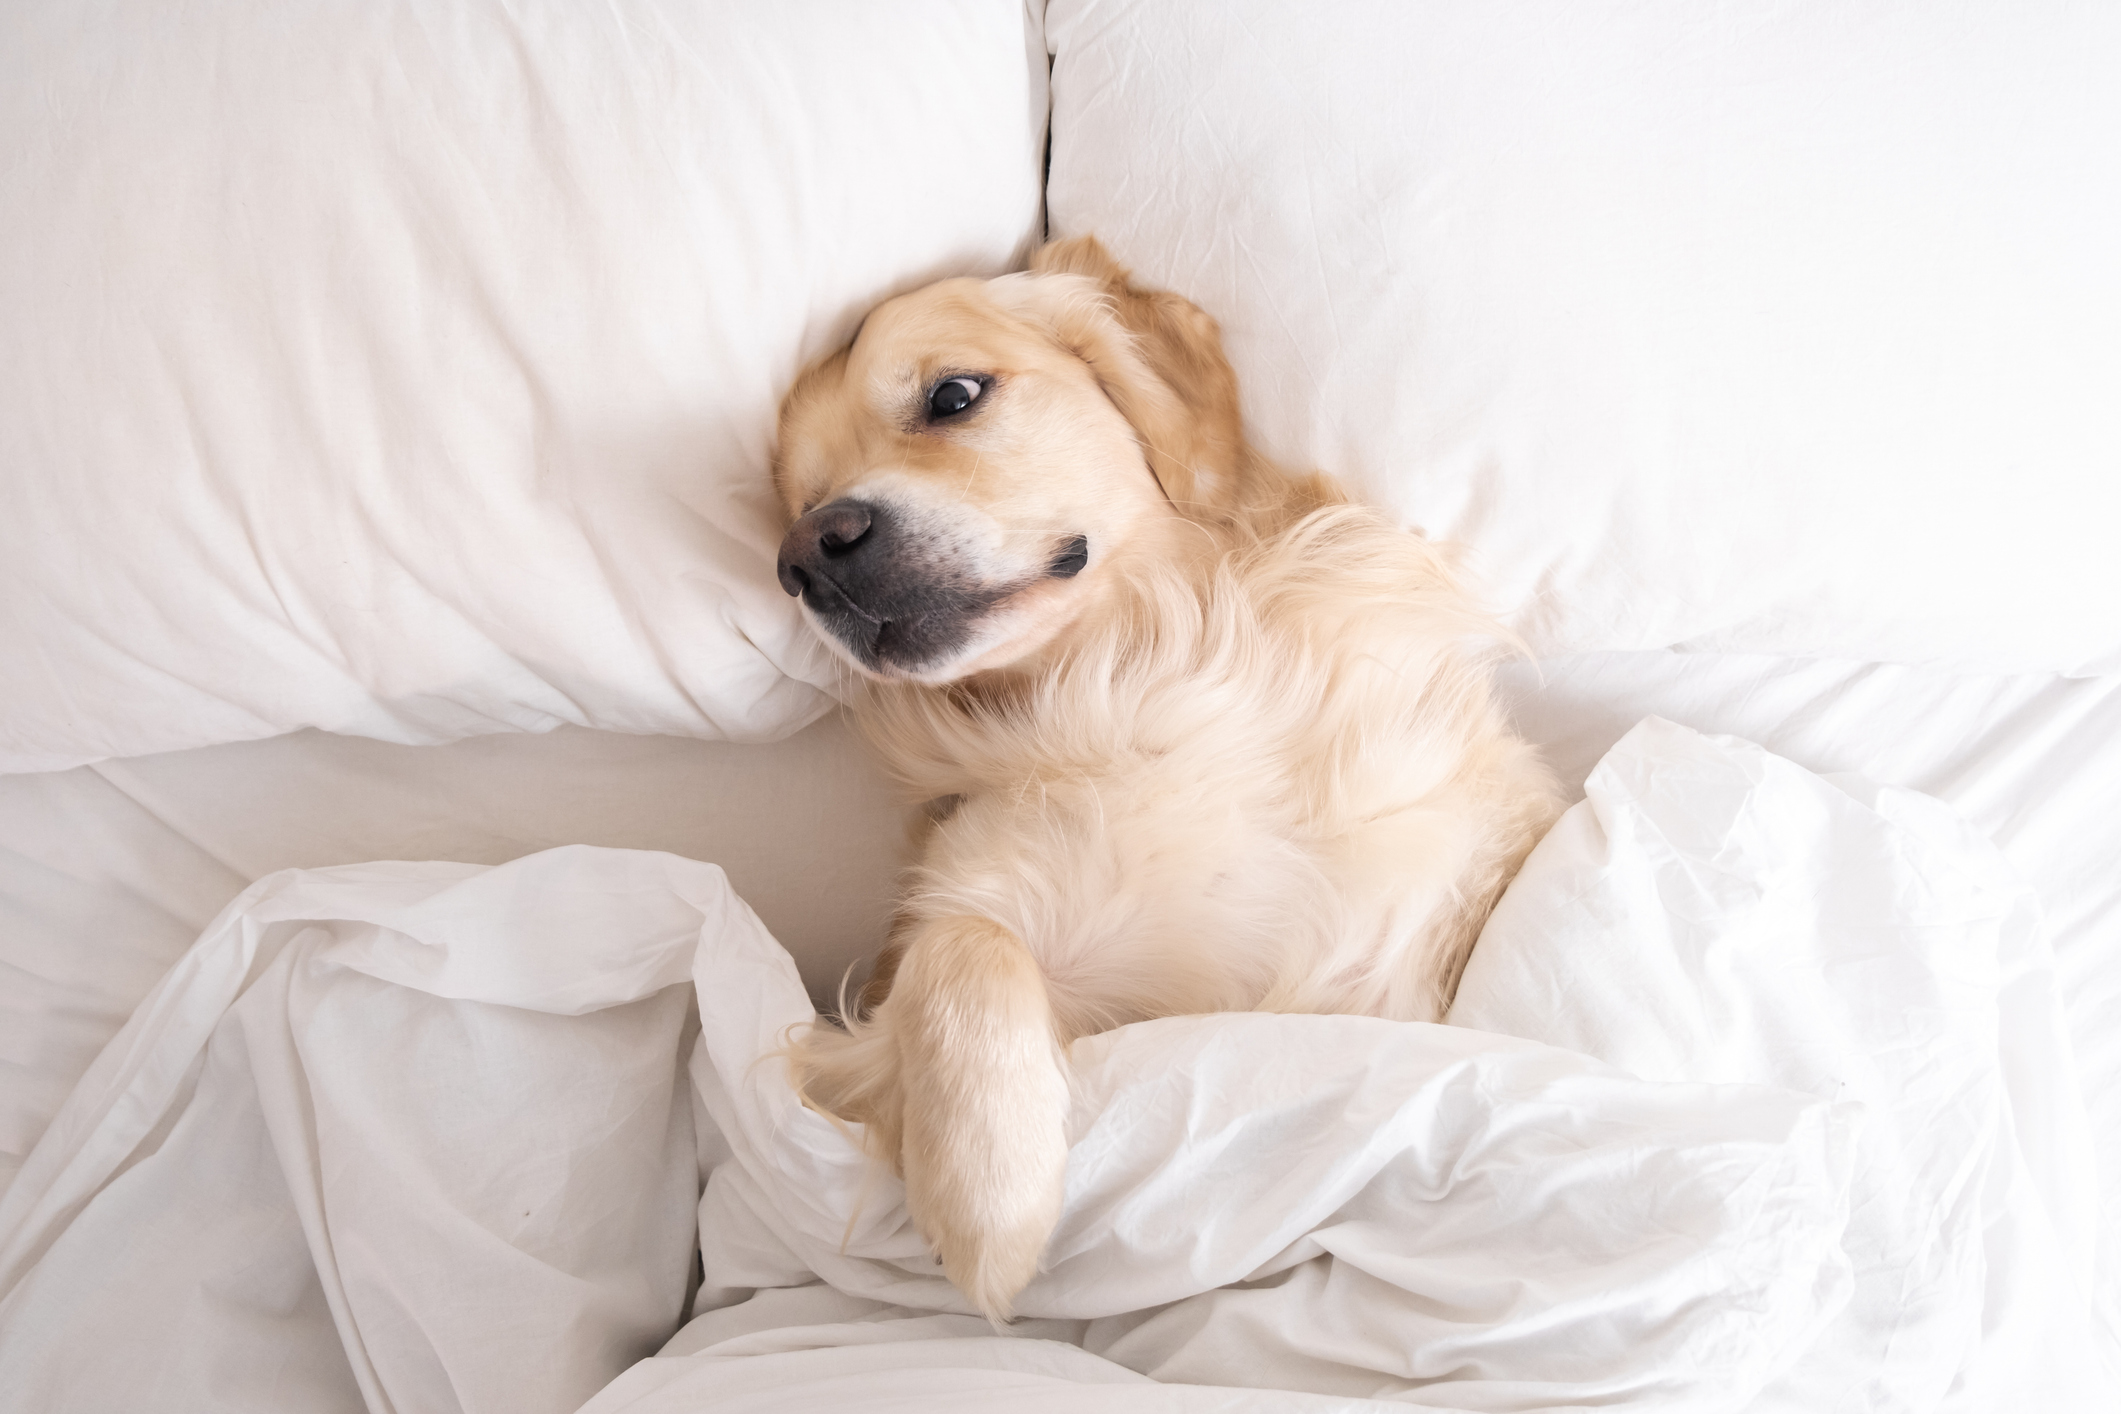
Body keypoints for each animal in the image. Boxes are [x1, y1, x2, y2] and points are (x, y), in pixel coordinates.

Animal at [776, 237, 1561, 1322]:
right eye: (796, 504)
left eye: (953, 394)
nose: (806, 557)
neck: (1138, 678)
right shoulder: (943, 934)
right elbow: (962, 945)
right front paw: (989, 1198)